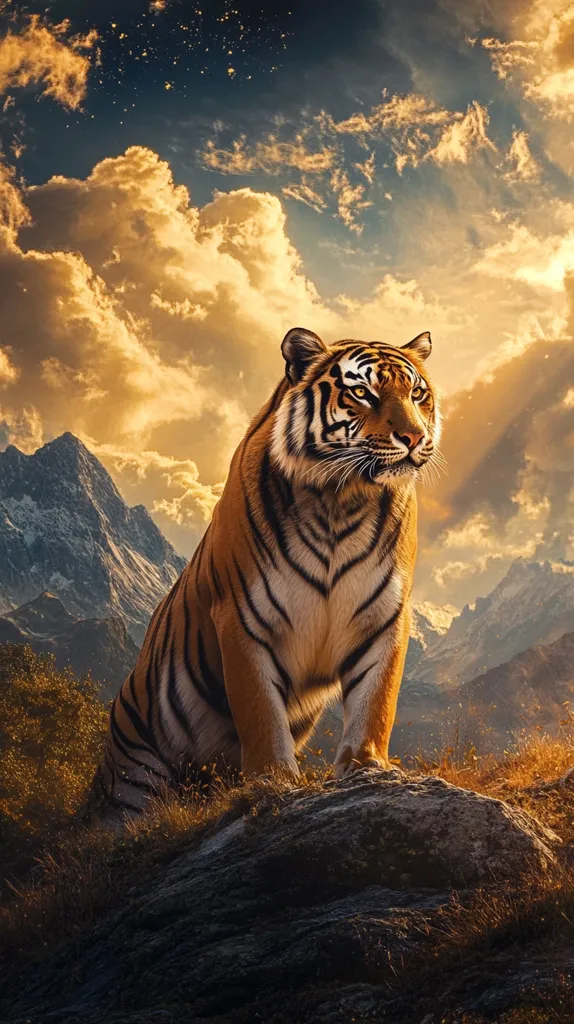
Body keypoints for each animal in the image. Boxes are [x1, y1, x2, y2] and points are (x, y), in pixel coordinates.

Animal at [89, 326, 441, 822]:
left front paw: (368, 768)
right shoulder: (241, 617)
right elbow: (260, 712)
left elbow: (376, 699)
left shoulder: (384, 618)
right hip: (132, 775)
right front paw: (273, 782)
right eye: (362, 393)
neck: (342, 500)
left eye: (417, 393)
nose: (413, 436)